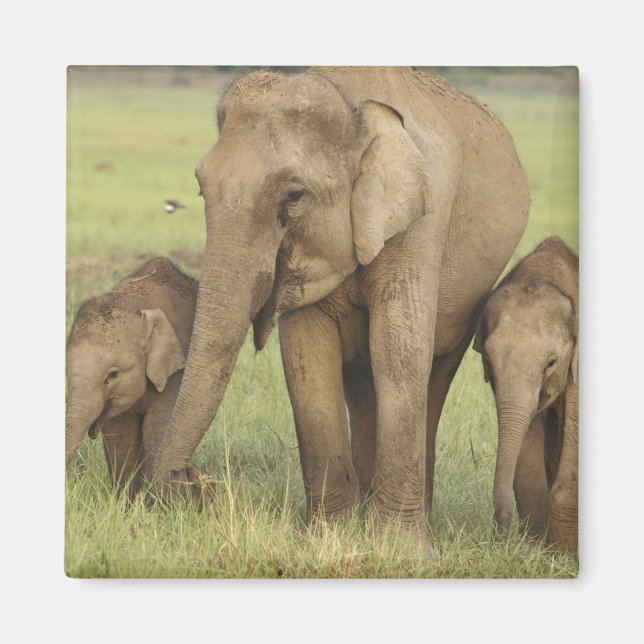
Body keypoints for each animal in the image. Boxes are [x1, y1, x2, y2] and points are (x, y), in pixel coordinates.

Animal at [66, 257, 211, 498]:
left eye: (112, 375)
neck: (134, 304)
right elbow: (121, 438)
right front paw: (126, 503)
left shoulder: (175, 373)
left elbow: (156, 427)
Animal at [150, 67, 530, 549]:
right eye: (201, 189)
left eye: (294, 196)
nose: (195, 482)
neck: (352, 106)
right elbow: (306, 360)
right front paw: (325, 539)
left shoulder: (422, 221)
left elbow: (399, 354)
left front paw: (401, 551)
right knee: (362, 382)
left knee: (434, 370)